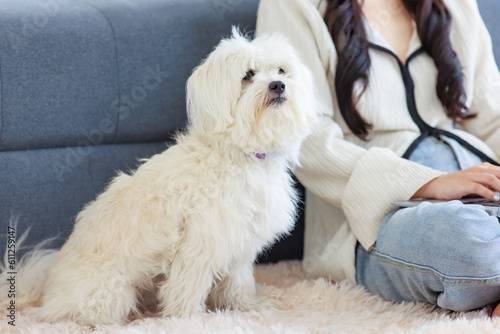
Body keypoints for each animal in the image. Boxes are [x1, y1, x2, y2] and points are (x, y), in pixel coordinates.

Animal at [1, 28, 316, 326]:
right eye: (248, 75)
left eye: (281, 71)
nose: (278, 85)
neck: (242, 154)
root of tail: (46, 292)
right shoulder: (200, 243)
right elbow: (188, 286)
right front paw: (190, 318)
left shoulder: (239, 241)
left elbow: (239, 281)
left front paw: (248, 306)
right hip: (113, 292)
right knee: (82, 314)